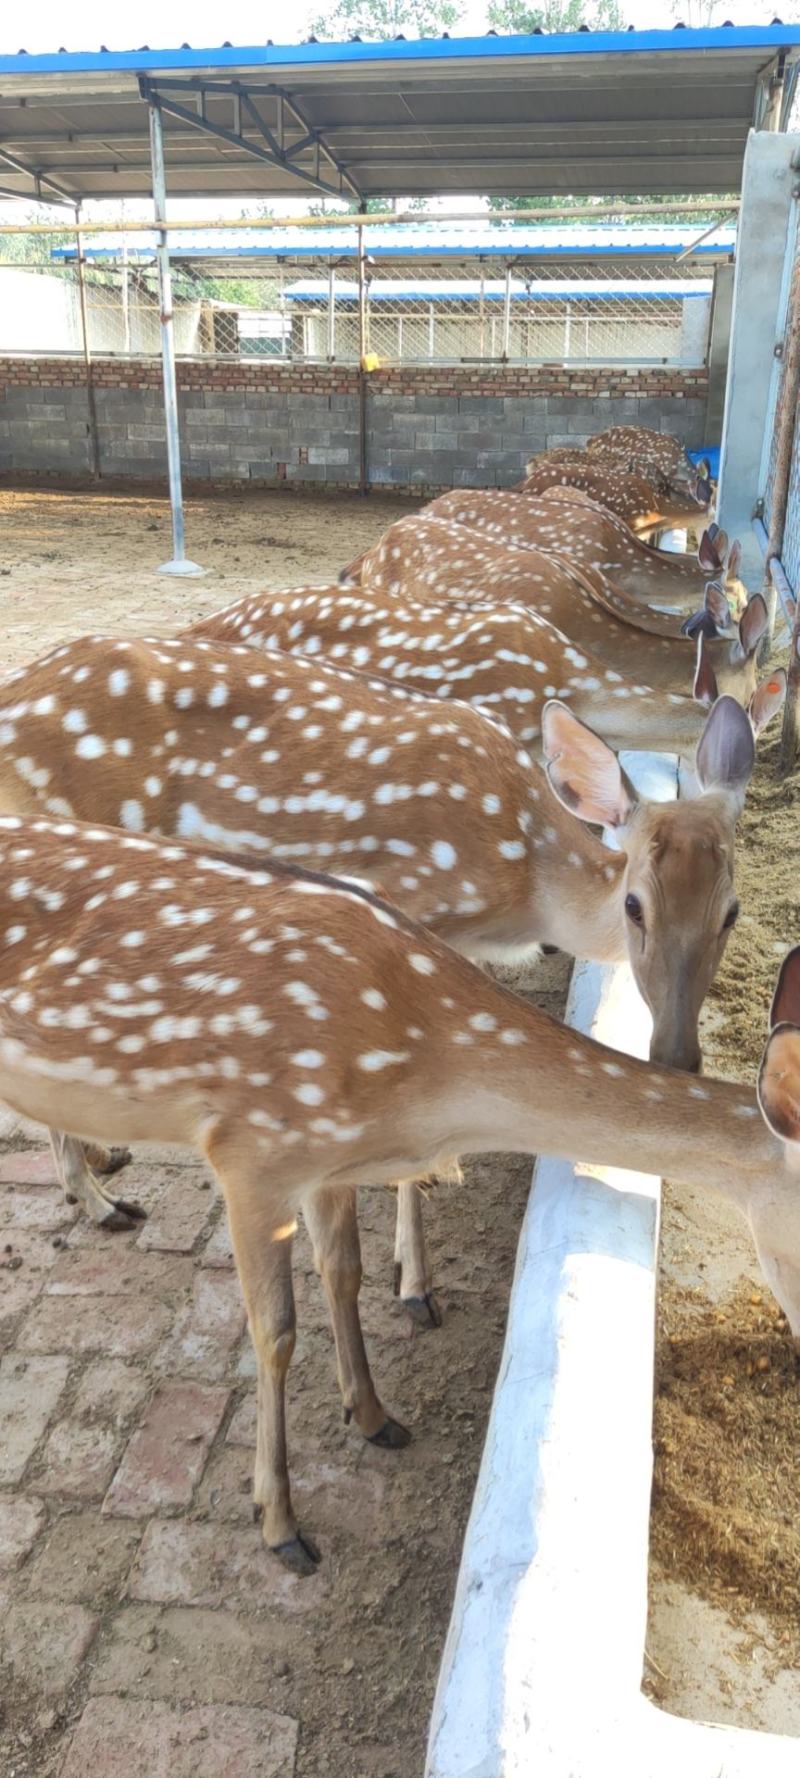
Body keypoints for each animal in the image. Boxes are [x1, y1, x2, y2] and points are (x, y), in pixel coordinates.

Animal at [0, 634, 783, 1321]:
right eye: (634, 905)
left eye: (733, 910)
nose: (678, 1054)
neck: (525, 882)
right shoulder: (410, 899)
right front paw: (415, 1283)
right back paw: (98, 1201)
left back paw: (100, 1165)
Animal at [1, 812, 800, 1575]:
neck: (420, 1079)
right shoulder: (251, 1149)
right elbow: (275, 1332)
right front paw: (280, 1524)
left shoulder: (327, 1162)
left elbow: (344, 1274)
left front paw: (376, 1415)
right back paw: (101, 1198)